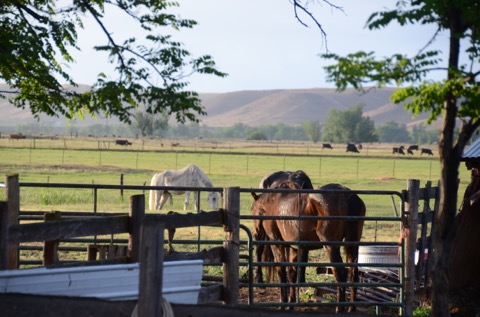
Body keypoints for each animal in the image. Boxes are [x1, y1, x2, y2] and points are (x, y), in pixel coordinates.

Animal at [249, 180, 366, 312]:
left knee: (340, 273)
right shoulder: (294, 248)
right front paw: (291, 303)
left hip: (331, 246)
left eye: (252, 209)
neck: (273, 202)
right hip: (352, 244)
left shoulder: (277, 244)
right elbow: (292, 273)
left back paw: (339, 309)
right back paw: (351, 309)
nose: (256, 233)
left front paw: (283, 303)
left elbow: (281, 271)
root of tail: (349, 197)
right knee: (353, 274)